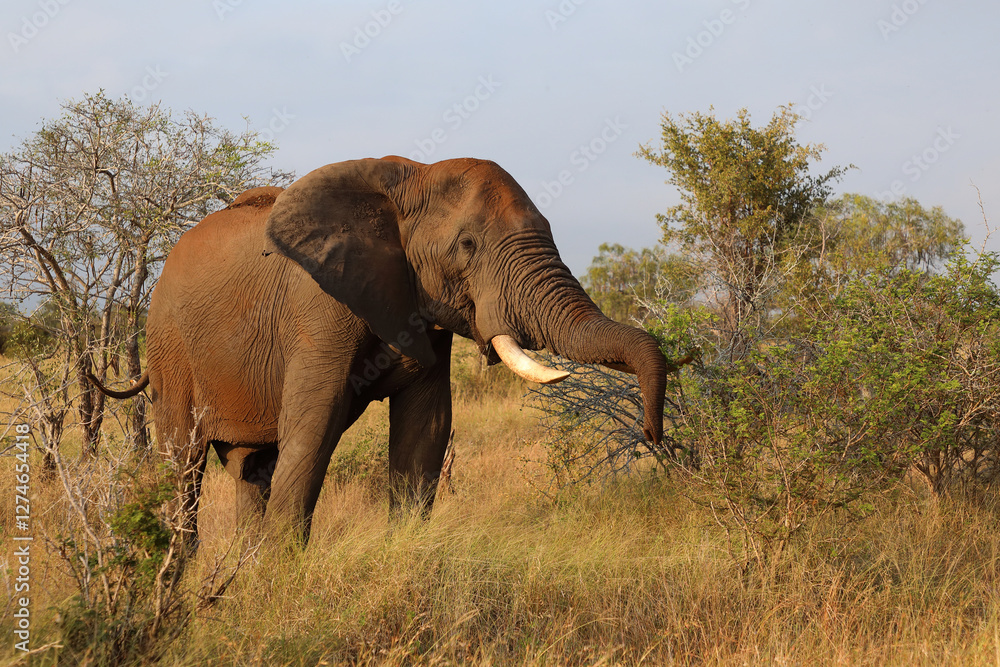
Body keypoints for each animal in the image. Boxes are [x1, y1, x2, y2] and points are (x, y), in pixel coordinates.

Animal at [90, 156, 669, 544]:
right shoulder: (319, 309)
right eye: (467, 246)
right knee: (182, 462)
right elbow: (313, 426)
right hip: (171, 347)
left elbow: (427, 426)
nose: (652, 436)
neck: (411, 178)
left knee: (251, 468)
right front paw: (281, 581)